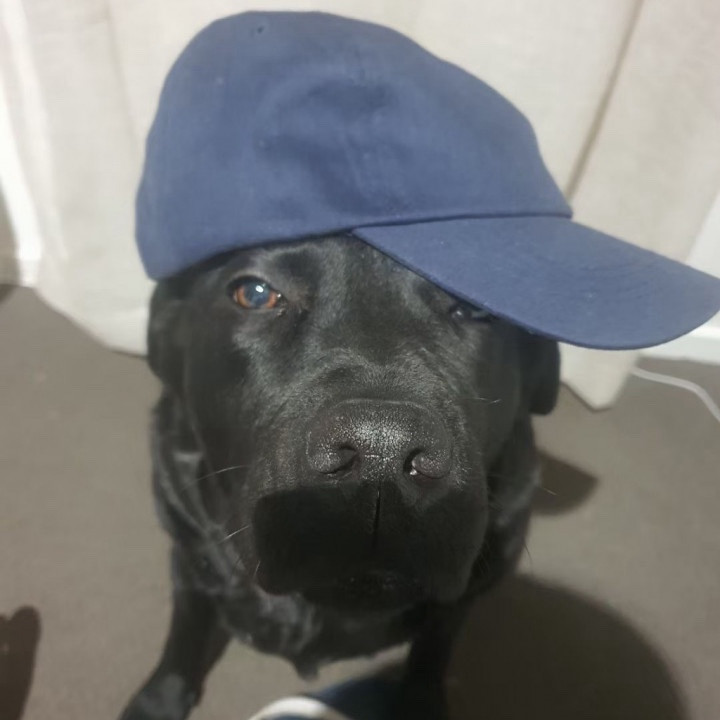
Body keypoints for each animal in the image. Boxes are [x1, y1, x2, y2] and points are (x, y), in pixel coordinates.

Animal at [119, 233, 559, 720]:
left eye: (475, 309)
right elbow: (186, 634)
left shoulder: (461, 601)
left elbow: (432, 652)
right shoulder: (191, 560)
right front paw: (160, 699)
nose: (381, 450)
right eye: (254, 293)